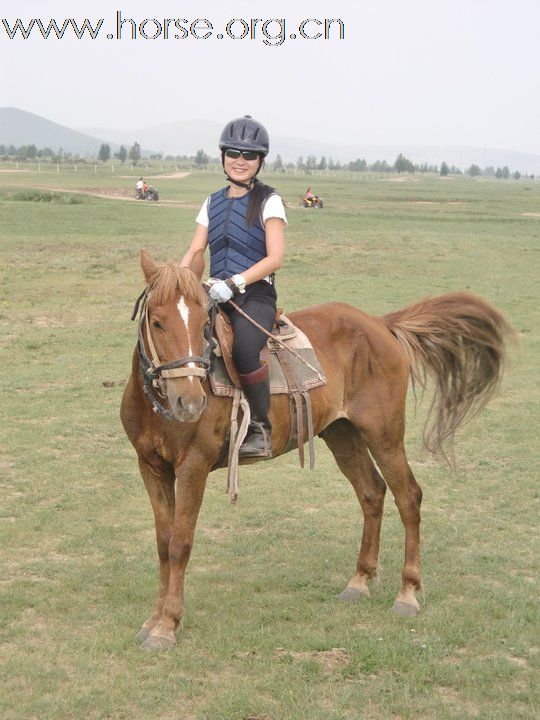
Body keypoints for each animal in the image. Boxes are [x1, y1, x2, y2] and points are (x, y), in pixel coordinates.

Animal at [120, 252, 512, 652]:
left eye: (203, 325)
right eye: (157, 322)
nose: (190, 402)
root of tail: (380, 325)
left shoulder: (194, 466)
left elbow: (180, 543)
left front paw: (168, 625)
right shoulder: (151, 467)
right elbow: (163, 542)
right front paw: (153, 620)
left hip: (384, 436)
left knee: (409, 498)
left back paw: (407, 593)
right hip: (342, 434)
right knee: (372, 493)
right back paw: (359, 581)